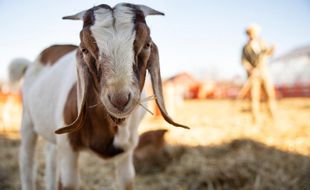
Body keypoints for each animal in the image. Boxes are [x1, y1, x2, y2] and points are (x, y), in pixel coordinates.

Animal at [9, 3, 189, 190]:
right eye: (84, 50)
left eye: (147, 44)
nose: (119, 99)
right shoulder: (68, 147)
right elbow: (68, 183)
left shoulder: (127, 150)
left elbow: (127, 180)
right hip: (27, 120)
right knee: (27, 161)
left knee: (51, 156)